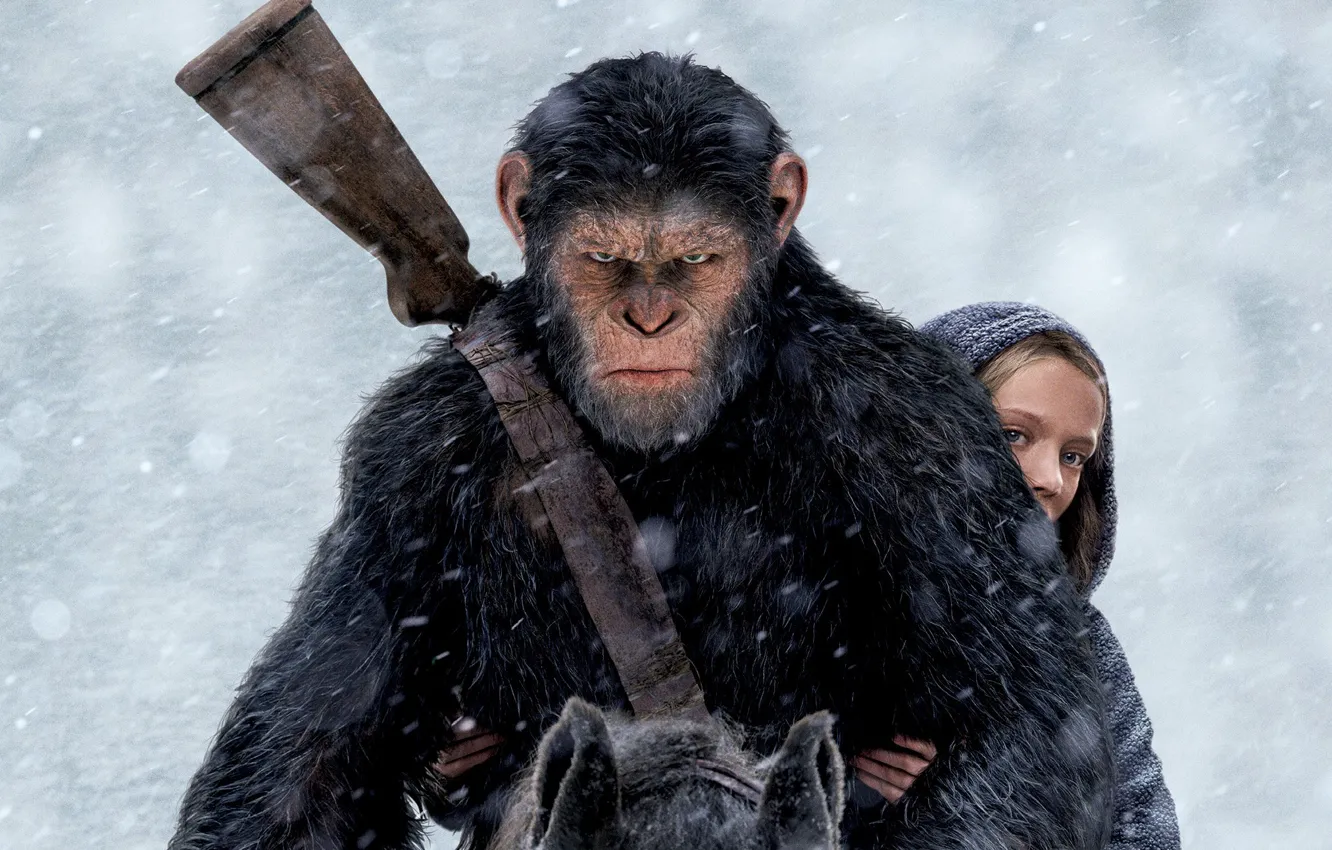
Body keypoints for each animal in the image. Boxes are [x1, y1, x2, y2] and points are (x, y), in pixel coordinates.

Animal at [169, 52, 1112, 850]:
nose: (649, 319)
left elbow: (1020, 721)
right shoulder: (403, 460)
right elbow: (311, 760)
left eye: (697, 256)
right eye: (602, 254)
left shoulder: (922, 429)